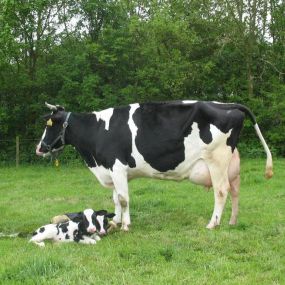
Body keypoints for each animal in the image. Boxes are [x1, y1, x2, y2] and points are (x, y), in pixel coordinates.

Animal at [36, 101, 272, 230]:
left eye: (50, 125)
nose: (39, 148)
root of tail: (226, 104)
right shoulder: (112, 170)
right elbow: (115, 198)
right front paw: (114, 221)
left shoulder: (117, 166)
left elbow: (123, 198)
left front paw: (125, 225)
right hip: (231, 164)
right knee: (235, 191)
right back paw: (232, 221)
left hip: (217, 159)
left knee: (221, 191)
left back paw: (213, 224)